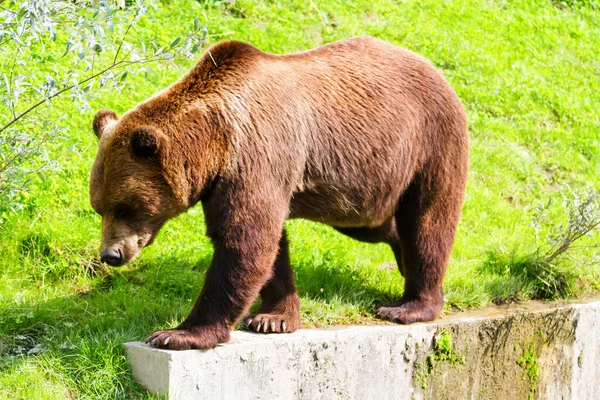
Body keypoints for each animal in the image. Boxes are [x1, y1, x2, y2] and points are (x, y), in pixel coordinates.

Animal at [89, 37, 468, 350]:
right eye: (98, 206)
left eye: (126, 205)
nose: (111, 254)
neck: (215, 144)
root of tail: (432, 67)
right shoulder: (242, 177)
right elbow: (270, 247)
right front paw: (274, 317)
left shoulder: (255, 154)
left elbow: (244, 241)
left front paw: (179, 333)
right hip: (365, 183)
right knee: (374, 225)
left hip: (429, 142)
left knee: (427, 221)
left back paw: (411, 305)